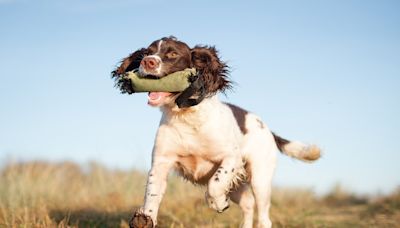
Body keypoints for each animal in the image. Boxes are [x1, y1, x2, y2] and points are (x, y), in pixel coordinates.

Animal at [112, 37, 322, 228]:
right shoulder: (161, 162)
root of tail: (267, 129)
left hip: (260, 178)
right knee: (248, 204)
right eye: (147, 52)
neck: (188, 117)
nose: (148, 62)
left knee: (263, 217)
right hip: (239, 185)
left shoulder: (231, 158)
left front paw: (218, 203)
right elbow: (152, 193)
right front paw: (145, 218)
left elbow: (215, 184)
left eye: (172, 54)